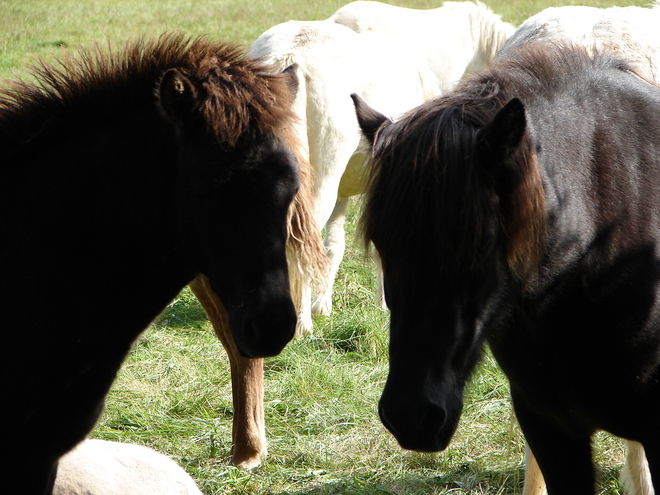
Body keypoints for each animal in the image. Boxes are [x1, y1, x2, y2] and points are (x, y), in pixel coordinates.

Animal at [250, 1, 512, 336]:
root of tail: (292, 54)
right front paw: (384, 305)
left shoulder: (346, 191)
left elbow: (334, 246)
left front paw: (324, 306)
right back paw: (302, 324)